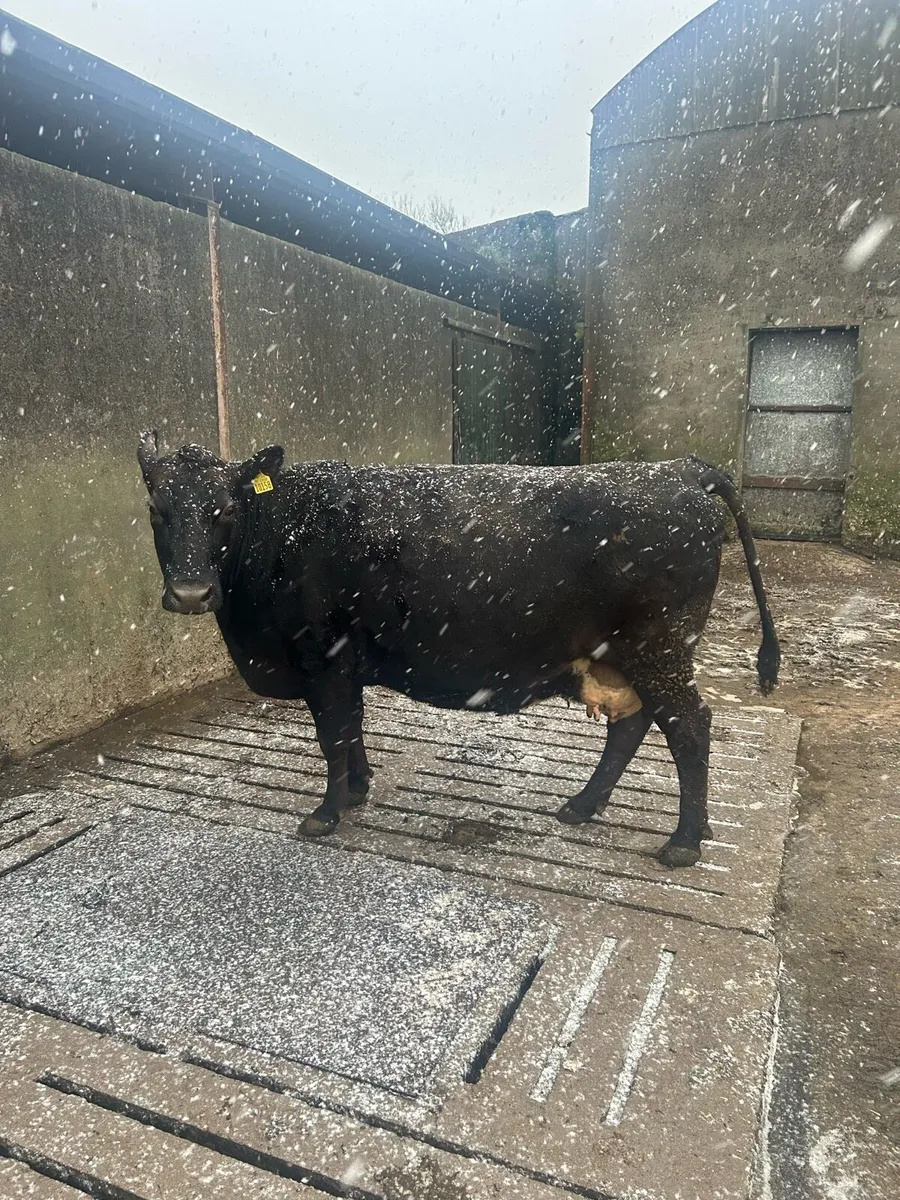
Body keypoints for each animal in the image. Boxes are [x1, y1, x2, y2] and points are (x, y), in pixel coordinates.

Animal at [137, 433, 779, 868]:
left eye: (224, 508)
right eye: (156, 510)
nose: (190, 593)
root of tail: (680, 469)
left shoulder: (323, 659)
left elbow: (333, 735)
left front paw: (325, 814)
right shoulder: (345, 664)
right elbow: (352, 727)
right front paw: (358, 790)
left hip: (659, 650)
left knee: (688, 728)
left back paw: (683, 842)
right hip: (623, 657)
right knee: (633, 725)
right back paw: (581, 805)